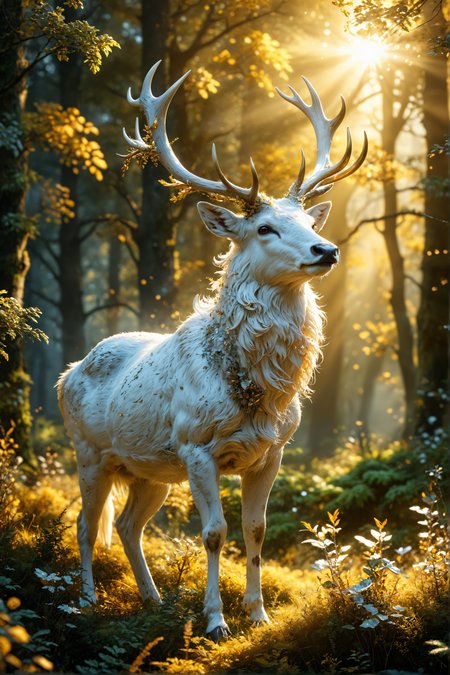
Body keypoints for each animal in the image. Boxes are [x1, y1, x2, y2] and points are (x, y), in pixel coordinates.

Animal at [57, 60, 367, 642]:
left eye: (309, 223)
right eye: (265, 227)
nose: (327, 249)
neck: (260, 389)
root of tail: (68, 372)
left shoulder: (272, 451)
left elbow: (256, 529)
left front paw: (259, 613)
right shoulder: (196, 445)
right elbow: (214, 532)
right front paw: (216, 619)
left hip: (149, 468)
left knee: (128, 525)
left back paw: (152, 597)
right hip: (88, 450)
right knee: (88, 526)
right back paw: (86, 598)